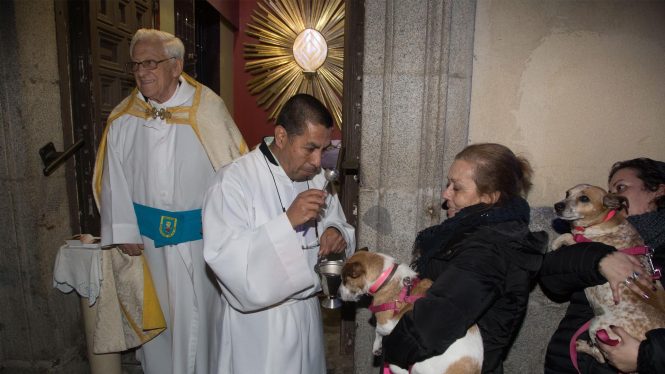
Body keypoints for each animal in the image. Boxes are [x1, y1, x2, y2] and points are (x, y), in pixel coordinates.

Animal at [340, 248, 480, 374]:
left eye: (345, 280)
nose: (338, 293)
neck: (386, 279)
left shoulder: (387, 324)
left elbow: (378, 331)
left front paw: (377, 345)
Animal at [548, 184, 664, 368]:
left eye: (584, 198)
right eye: (567, 193)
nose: (557, 205)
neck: (602, 221)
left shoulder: (585, 242)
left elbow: (570, 237)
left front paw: (556, 243)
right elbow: (570, 235)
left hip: (597, 325)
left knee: (601, 357)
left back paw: (582, 346)